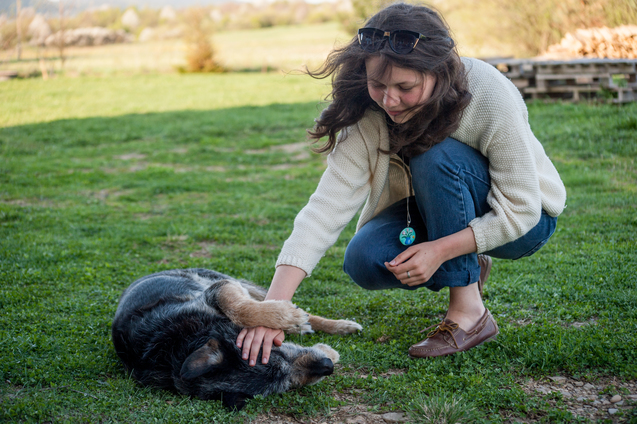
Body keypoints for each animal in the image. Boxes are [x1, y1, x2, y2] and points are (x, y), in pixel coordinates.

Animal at [110, 270, 362, 410]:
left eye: (274, 352)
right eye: (286, 385)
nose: (327, 367)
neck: (175, 346)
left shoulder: (216, 291)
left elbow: (239, 308)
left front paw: (288, 317)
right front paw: (327, 351)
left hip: (230, 281)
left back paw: (335, 325)